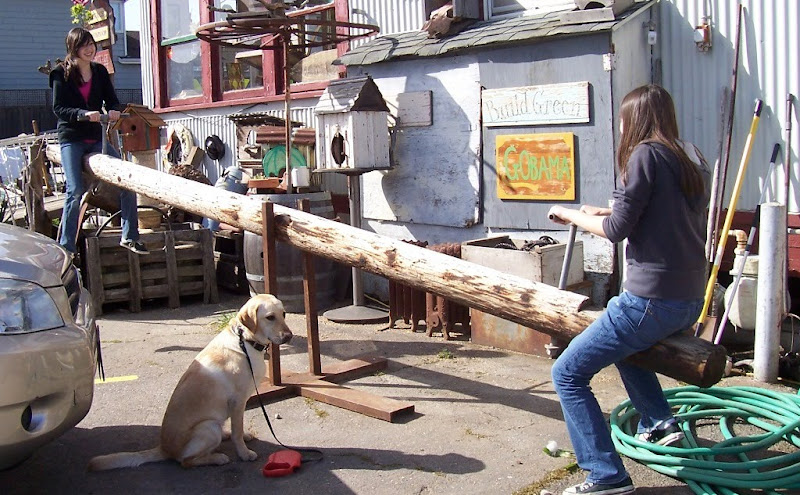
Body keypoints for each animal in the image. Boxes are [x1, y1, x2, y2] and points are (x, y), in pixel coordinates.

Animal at [88, 296, 294, 470]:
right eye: (270, 317)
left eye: (283, 314)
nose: (289, 336)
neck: (245, 341)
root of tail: (164, 448)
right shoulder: (237, 401)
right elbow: (237, 431)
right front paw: (244, 453)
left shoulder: (239, 405)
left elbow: (238, 427)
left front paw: (243, 437)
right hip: (208, 427)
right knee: (185, 462)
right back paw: (217, 458)